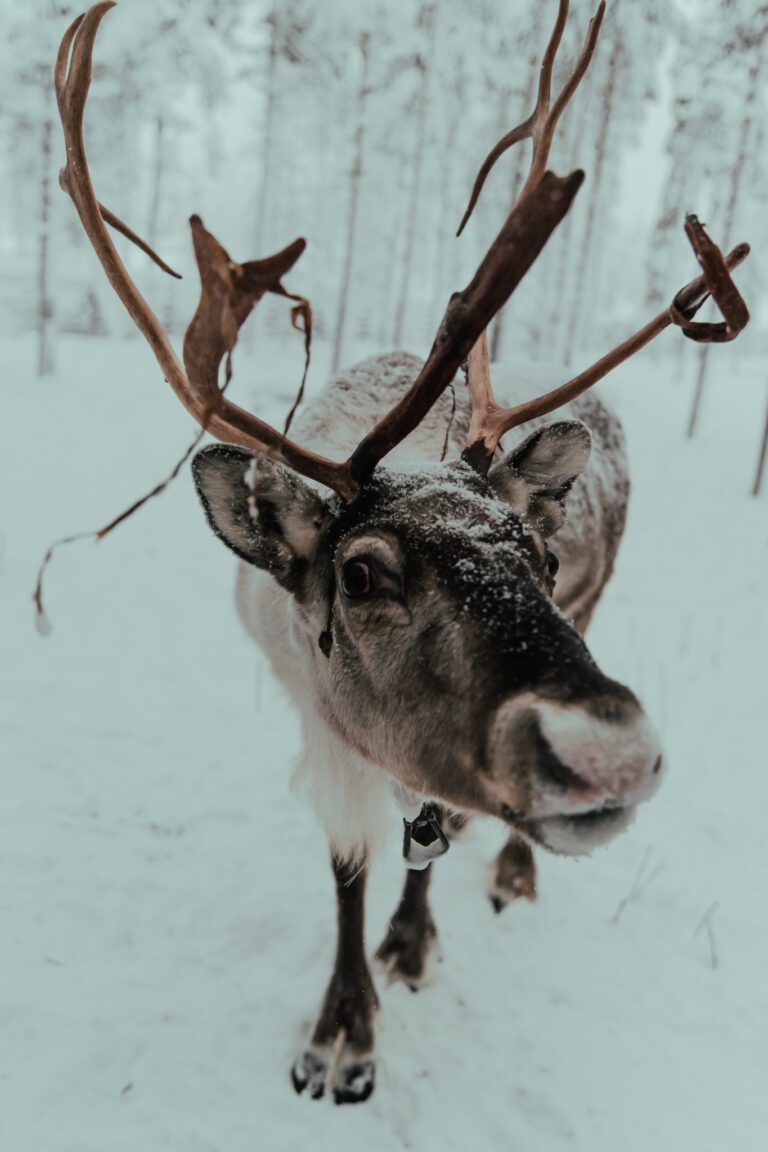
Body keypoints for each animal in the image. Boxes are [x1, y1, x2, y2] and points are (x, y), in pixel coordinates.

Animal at [54, 0, 749, 1106]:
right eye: (360, 572)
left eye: (540, 557)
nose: (610, 753)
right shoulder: (322, 717)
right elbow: (350, 867)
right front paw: (341, 1032)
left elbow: (437, 832)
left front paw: (410, 950)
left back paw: (512, 871)